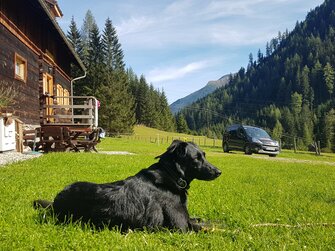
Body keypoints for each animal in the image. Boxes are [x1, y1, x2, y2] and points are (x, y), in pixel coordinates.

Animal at [34, 139, 222, 231]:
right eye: (196, 159)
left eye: (204, 155)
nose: (219, 171)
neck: (172, 175)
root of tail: (56, 201)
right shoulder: (181, 227)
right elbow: (209, 226)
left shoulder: (187, 219)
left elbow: (204, 220)